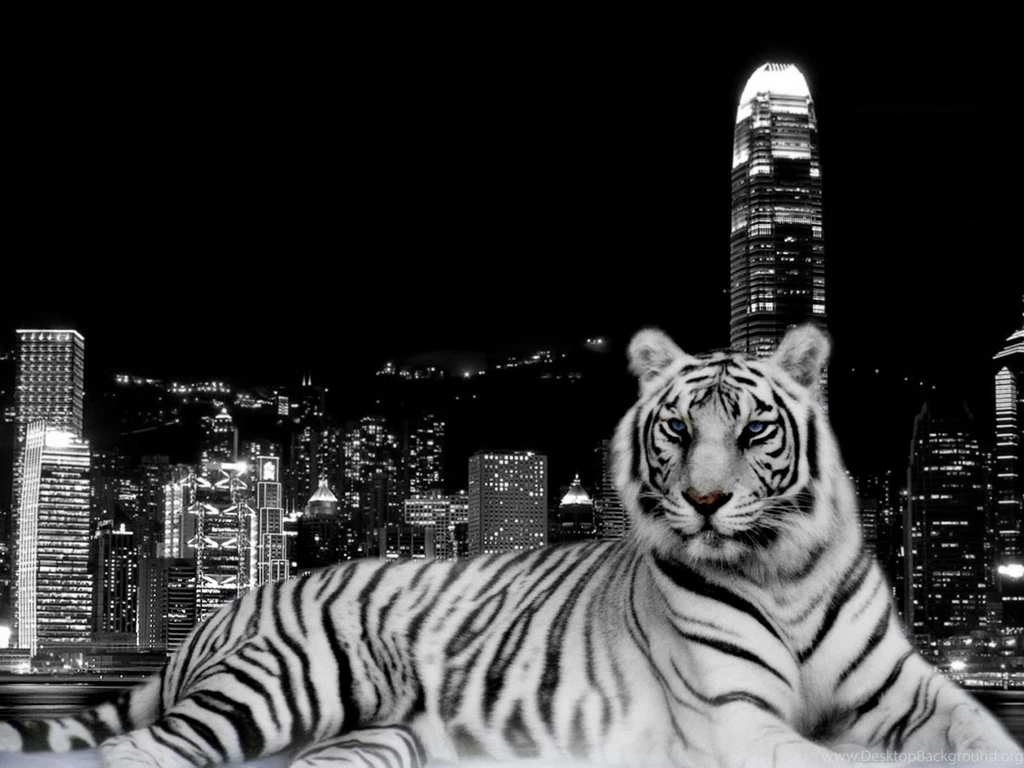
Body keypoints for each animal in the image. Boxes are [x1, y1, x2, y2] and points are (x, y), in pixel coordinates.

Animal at [1, 324, 1020, 767]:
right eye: (678, 430)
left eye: (752, 429)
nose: (703, 502)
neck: (784, 570)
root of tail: (230, 605)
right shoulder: (734, 716)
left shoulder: (917, 693)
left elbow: (986, 737)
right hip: (289, 683)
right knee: (138, 754)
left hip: (383, 738)